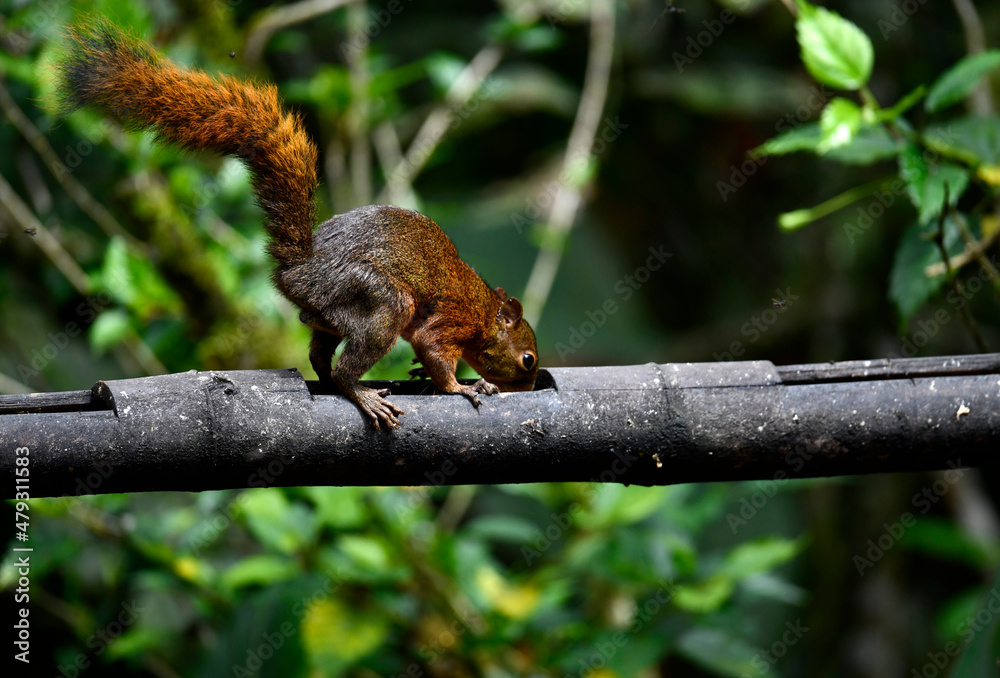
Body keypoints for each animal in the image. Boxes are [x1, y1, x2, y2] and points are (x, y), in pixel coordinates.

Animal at [54, 21, 540, 430]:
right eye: (528, 360)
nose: (530, 387)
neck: (483, 312)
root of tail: (301, 268)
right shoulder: (448, 324)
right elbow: (437, 355)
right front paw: (462, 386)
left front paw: (424, 373)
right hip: (377, 297)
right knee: (345, 364)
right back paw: (360, 392)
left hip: (333, 315)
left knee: (319, 356)